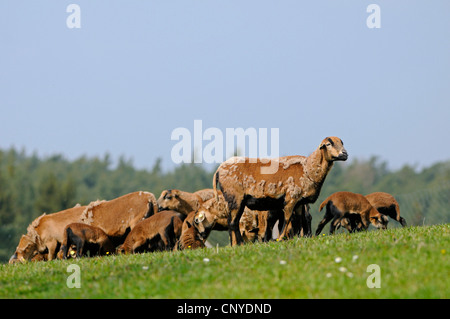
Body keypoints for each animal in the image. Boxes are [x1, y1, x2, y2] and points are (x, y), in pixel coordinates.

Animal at [214, 137, 348, 245]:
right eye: (328, 144)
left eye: (342, 142)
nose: (345, 154)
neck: (308, 168)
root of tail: (219, 169)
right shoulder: (290, 198)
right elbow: (287, 219)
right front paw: (281, 238)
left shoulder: (299, 202)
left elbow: (299, 220)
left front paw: (296, 238)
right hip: (235, 198)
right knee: (233, 223)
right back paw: (240, 244)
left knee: (232, 222)